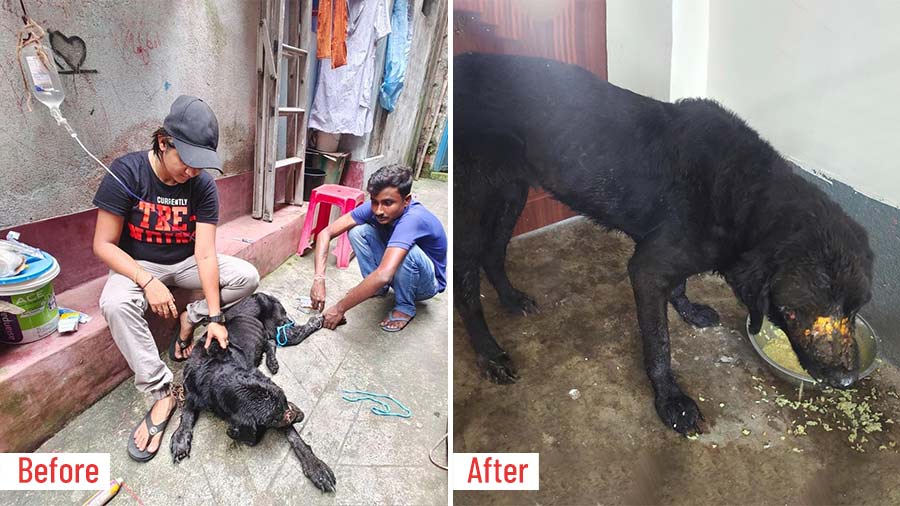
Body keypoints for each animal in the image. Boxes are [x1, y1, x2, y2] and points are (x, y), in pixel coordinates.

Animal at [169, 290, 338, 492]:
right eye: (274, 419)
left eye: (285, 401)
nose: (302, 415)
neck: (214, 371)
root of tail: (262, 293)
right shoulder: (190, 387)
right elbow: (186, 412)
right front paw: (181, 437)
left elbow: (294, 437)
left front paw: (315, 466)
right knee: (271, 342)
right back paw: (272, 361)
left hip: (278, 325)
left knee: (290, 334)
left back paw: (316, 320)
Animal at [454, 53, 876, 436]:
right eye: (793, 312)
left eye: (855, 310)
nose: (846, 381)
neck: (747, 196)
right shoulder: (646, 269)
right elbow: (660, 346)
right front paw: (671, 401)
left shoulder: (667, 261)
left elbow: (680, 284)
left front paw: (688, 309)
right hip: (471, 208)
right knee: (466, 288)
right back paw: (489, 353)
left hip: (511, 190)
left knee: (493, 252)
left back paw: (510, 298)